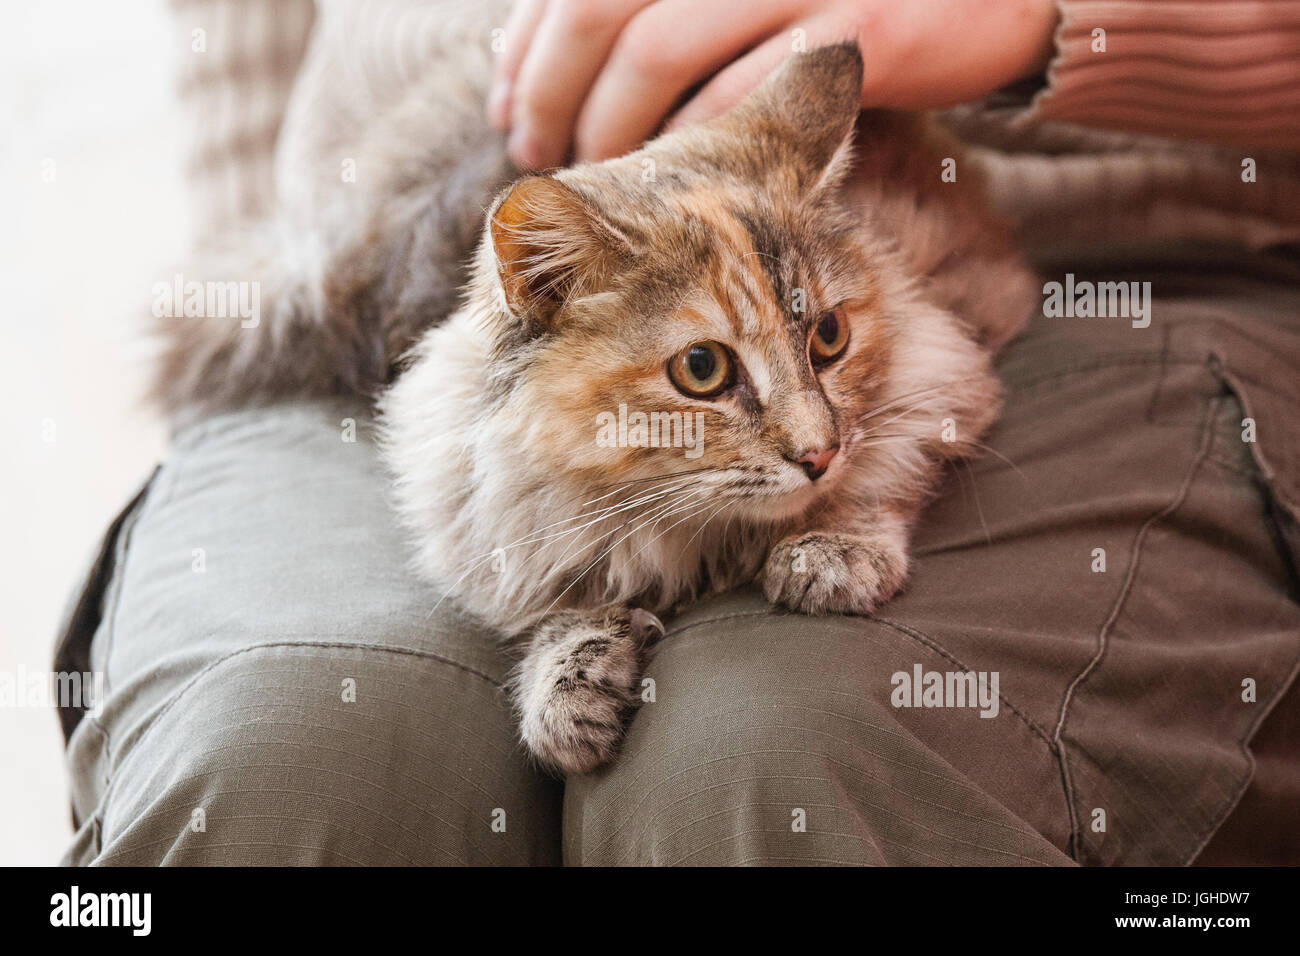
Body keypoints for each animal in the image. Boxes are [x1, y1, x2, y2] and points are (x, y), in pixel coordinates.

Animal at [149, 11, 1034, 775]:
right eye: (703, 370)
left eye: (829, 338)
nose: (818, 454)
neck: (680, 533)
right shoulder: (495, 515)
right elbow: (558, 600)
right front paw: (570, 685)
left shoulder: (945, 353)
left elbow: (882, 468)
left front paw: (832, 549)